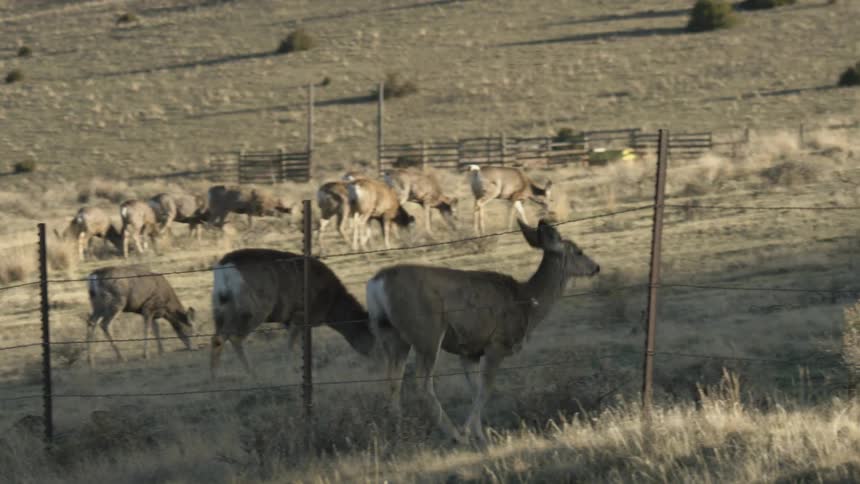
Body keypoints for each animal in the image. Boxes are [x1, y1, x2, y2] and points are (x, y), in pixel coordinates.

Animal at [210, 248, 376, 379]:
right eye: (373, 336)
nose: (377, 359)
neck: (332, 304)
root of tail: (225, 267)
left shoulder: (290, 320)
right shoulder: (300, 315)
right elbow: (291, 346)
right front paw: (289, 370)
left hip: (219, 306)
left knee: (217, 337)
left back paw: (214, 377)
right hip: (255, 306)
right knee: (235, 337)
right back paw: (253, 374)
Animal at [366, 219, 599, 445]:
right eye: (579, 251)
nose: (596, 267)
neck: (526, 304)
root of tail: (377, 284)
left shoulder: (469, 351)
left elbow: (476, 389)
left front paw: (480, 434)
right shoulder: (497, 343)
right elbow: (486, 389)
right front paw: (469, 431)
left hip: (390, 334)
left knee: (392, 380)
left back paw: (399, 432)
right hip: (427, 331)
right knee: (422, 383)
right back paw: (454, 435)